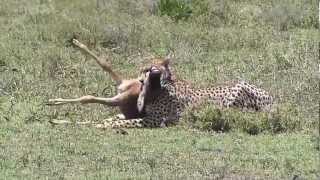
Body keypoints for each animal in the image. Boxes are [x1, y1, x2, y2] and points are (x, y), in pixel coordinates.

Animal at [95, 56, 272, 128]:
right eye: (143, 69)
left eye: (150, 68)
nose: (140, 80)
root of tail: (272, 98)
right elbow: (116, 118)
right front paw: (95, 122)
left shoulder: (154, 120)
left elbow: (124, 122)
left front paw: (101, 125)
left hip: (238, 89)